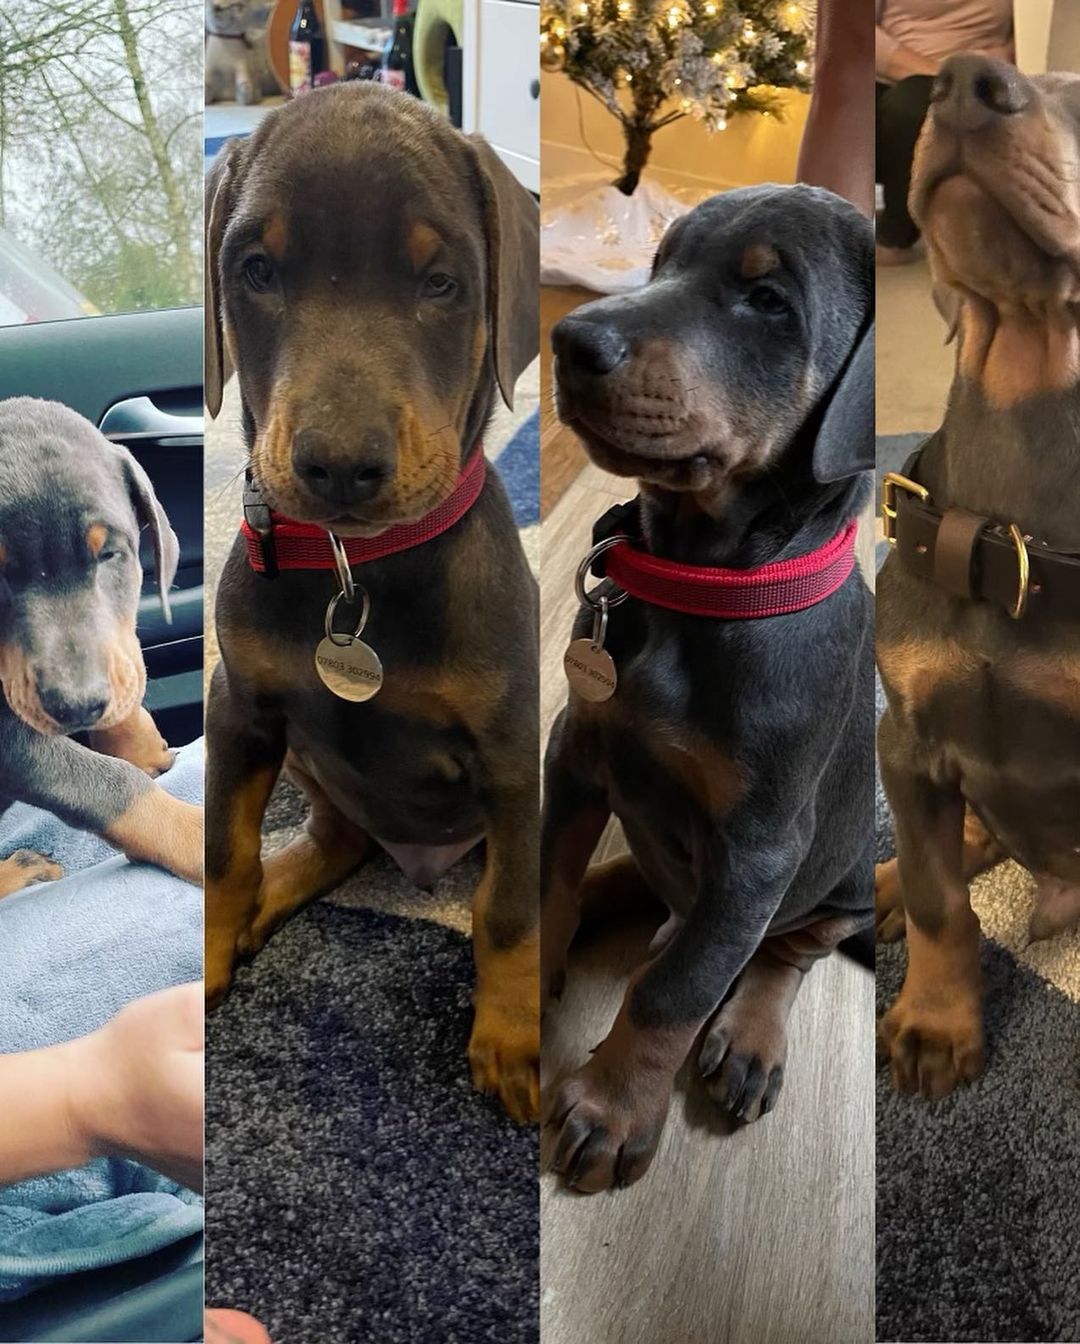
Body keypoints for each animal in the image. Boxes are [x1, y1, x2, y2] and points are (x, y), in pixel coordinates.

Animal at [203, 84, 541, 1123]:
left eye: (441, 283)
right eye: (257, 270)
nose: (341, 467)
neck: (357, 567)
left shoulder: (511, 758)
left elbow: (508, 914)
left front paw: (512, 1040)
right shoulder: (240, 709)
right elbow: (222, 852)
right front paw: (205, 956)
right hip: (307, 760)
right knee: (334, 838)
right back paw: (265, 903)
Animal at [540, 184, 875, 1192]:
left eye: (769, 302)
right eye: (662, 265)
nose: (570, 339)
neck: (698, 583)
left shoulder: (761, 847)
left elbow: (677, 991)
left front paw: (612, 1109)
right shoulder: (578, 748)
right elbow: (546, 876)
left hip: (850, 870)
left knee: (782, 950)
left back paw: (751, 1035)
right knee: (652, 892)